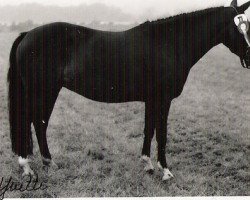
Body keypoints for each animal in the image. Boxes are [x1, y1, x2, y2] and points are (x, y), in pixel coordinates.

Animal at [7, 0, 250, 180]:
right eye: (239, 28)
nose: (249, 56)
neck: (169, 42)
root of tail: (27, 34)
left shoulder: (151, 100)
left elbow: (148, 130)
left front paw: (147, 164)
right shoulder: (163, 100)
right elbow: (162, 134)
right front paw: (166, 171)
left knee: (38, 123)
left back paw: (45, 163)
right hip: (43, 91)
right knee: (35, 122)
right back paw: (30, 166)